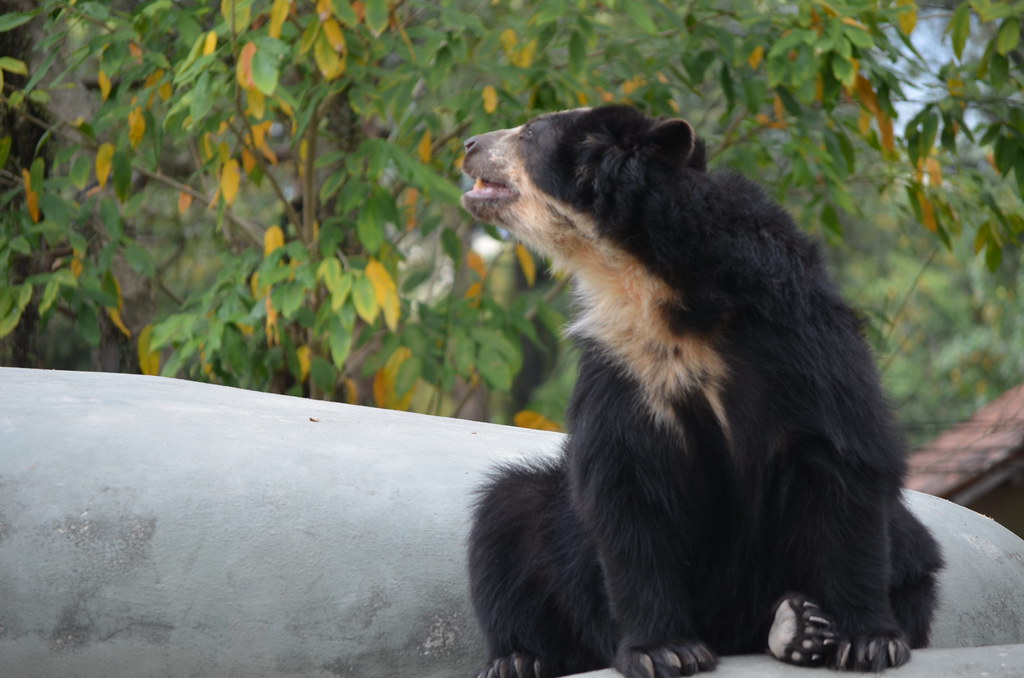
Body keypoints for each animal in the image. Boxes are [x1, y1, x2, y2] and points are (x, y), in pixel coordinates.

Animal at [459, 105, 943, 678]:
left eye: (531, 132)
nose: (468, 144)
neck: (649, 280)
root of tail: (732, 625)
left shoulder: (799, 333)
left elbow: (842, 461)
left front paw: (868, 641)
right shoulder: (624, 365)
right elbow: (624, 486)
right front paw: (664, 650)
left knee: (911, 556)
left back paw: (796, 626)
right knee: (507, 518)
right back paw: (520, 658)